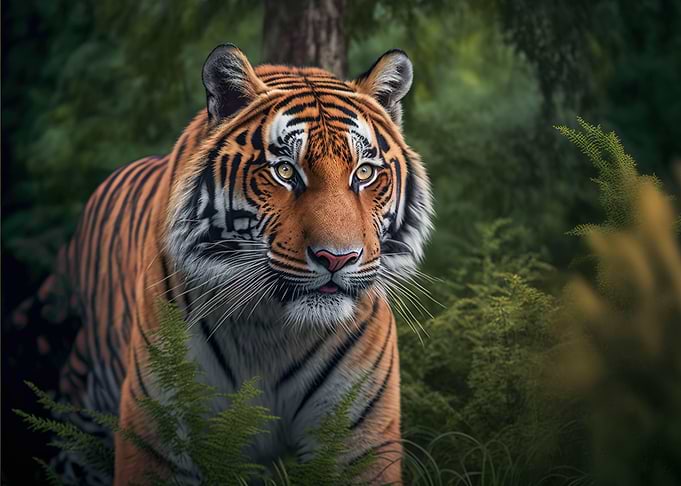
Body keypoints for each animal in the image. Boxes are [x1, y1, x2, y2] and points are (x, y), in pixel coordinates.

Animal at [36, 43, 433, 485]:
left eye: (363, 172)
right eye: (285, 171)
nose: (338, 257)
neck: (274, 330)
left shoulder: (358, 438)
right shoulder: (158, 430)